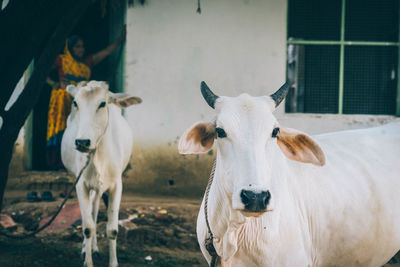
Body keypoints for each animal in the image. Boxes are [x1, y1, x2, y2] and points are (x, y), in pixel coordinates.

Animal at [59, 81, 141, 267]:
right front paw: (87, 260)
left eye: (102, 103)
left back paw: (94, 247)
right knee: (89, 216)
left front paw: (113, 262)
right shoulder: (80, 184)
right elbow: (87, 227)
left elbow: (112, 229)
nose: (82, 142)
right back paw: (87, 248)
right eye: (76, 103)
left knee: (95, 210)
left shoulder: (116, 186)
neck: (98, 155)